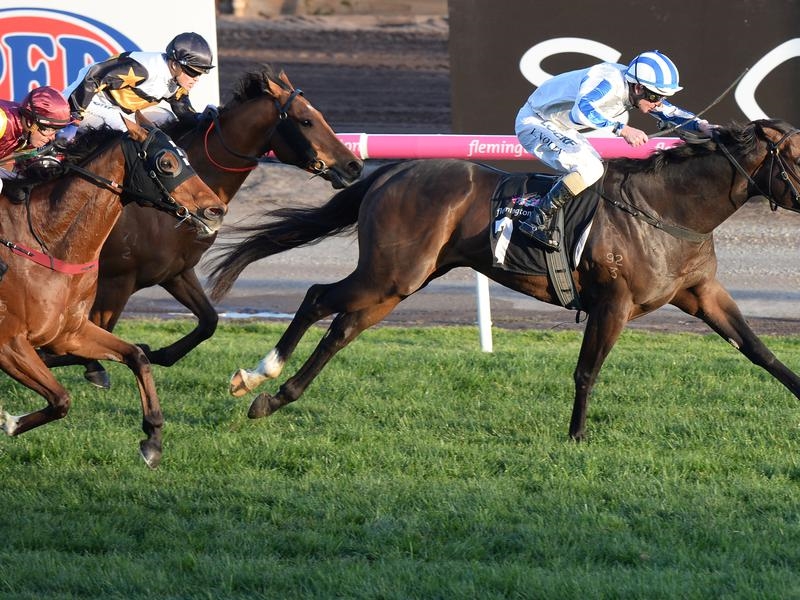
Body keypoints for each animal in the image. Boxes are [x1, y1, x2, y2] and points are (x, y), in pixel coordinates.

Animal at [0, 114, 227, 468]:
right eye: (167, 162)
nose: (216, 210)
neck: (46, 241)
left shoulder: (69, 332)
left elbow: (136, 356)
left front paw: (153, 439)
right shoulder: (10, 342)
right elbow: (61, 399)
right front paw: (11, 423)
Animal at [75, 67, 363, 388]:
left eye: (319, 115)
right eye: (306, 121)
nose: (354, 165)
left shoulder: (176, 271)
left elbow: (209, 321)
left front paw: (156, 351)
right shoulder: (117, 280)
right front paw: (95, 367)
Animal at [206, 119, 800, 441]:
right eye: (796, 154)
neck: (667, 208)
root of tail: (393, 170)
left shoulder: (703, 294)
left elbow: (760, 351)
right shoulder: (614, 303)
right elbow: (587, 371)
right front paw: (577, 436)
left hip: (403, 281)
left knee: (342, 328)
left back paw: (275, 397)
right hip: (390, 272)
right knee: (315, 298)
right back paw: (256, 378)